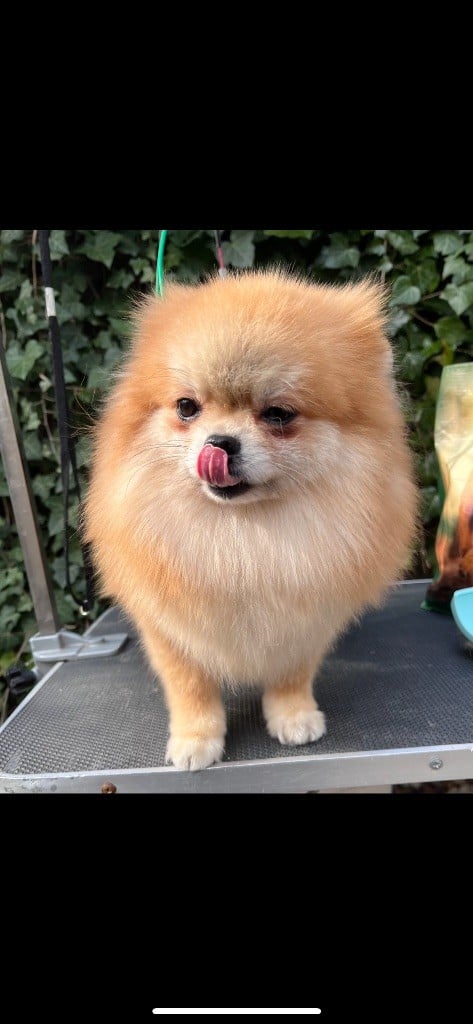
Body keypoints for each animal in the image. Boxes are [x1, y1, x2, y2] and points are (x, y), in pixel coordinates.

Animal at [84, 270, 417, 770]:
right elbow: (191, 687)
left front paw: (293, 716)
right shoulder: (169, 630)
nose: (218, 444)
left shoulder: (303, 624)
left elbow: (291, 675)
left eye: (278, 414)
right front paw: (196, 739)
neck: (242, 541)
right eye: (187, 407)